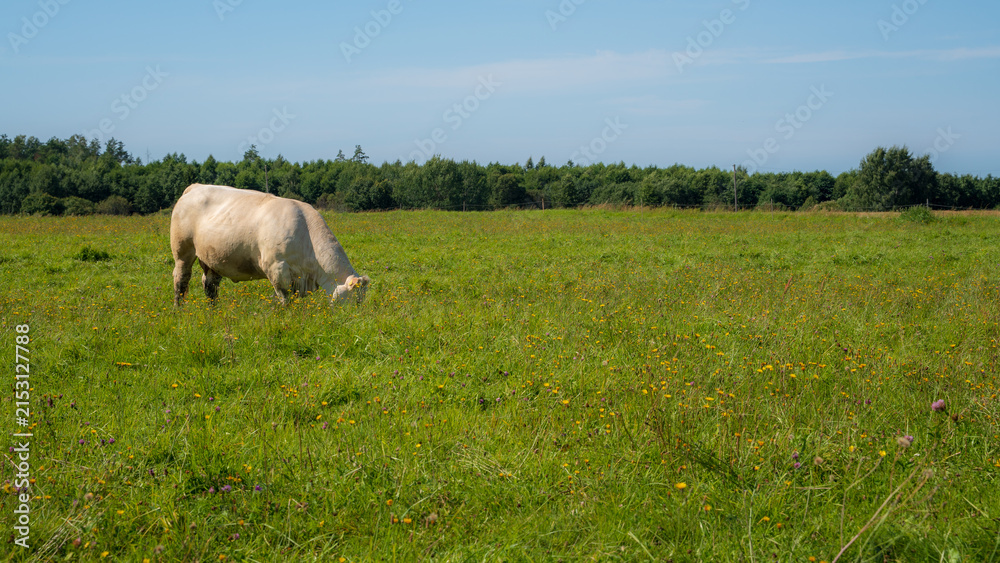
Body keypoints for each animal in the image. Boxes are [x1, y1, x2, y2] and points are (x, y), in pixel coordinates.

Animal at [170, 184, 370, 306]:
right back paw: (178, 309)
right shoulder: (277, 269)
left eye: (362, 300)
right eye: (355, 300)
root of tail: (196, 187)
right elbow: (286, 299)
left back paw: (214, 310)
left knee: (210, 286)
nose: (353, 321)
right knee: (181, 281)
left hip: (212, 259)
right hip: (182, 252)